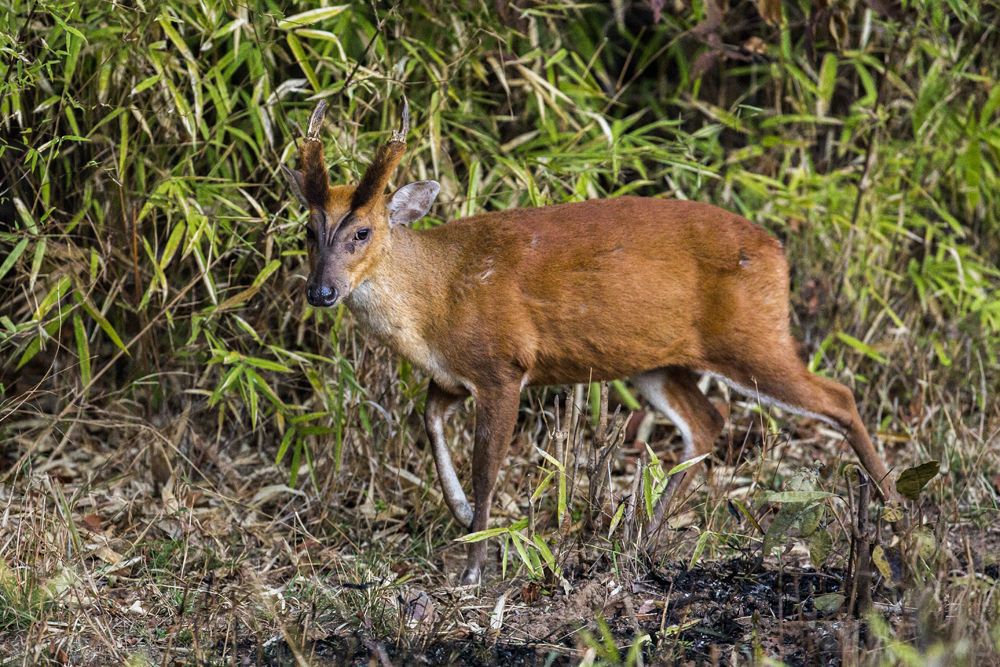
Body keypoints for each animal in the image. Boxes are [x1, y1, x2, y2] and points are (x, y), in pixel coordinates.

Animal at [281, 99, 900, 585]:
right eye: (309, 231)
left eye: (362, 232)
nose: (321, 291)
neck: (438, 294)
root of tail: (778, 251)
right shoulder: (454, 374)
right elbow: (429, 419)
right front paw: (459, 516)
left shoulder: (505, 365)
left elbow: (486, 468)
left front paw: (475, 565)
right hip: (657, 361)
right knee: (707, 421)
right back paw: (640, 539)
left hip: (753, 337)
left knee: (838, 396)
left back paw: (896, 519)